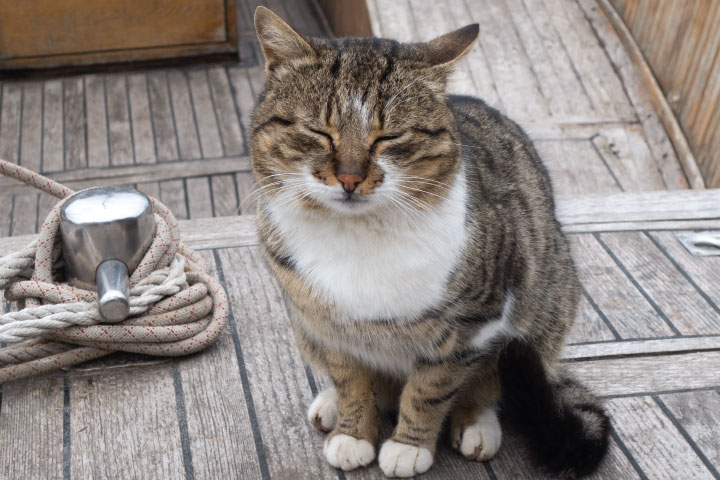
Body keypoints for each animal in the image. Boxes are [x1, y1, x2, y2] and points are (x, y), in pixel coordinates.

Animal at [250, 5, 612, 478]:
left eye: (389, 137)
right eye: (319, 132)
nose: (349, 177)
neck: (358, 237)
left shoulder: (470, 327)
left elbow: (429, 390)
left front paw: (409, 445)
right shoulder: (327, 326)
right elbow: (350, 380)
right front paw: (353, 431)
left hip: (545, 307)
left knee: (493, 382)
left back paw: (477, 424)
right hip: (302, 328)